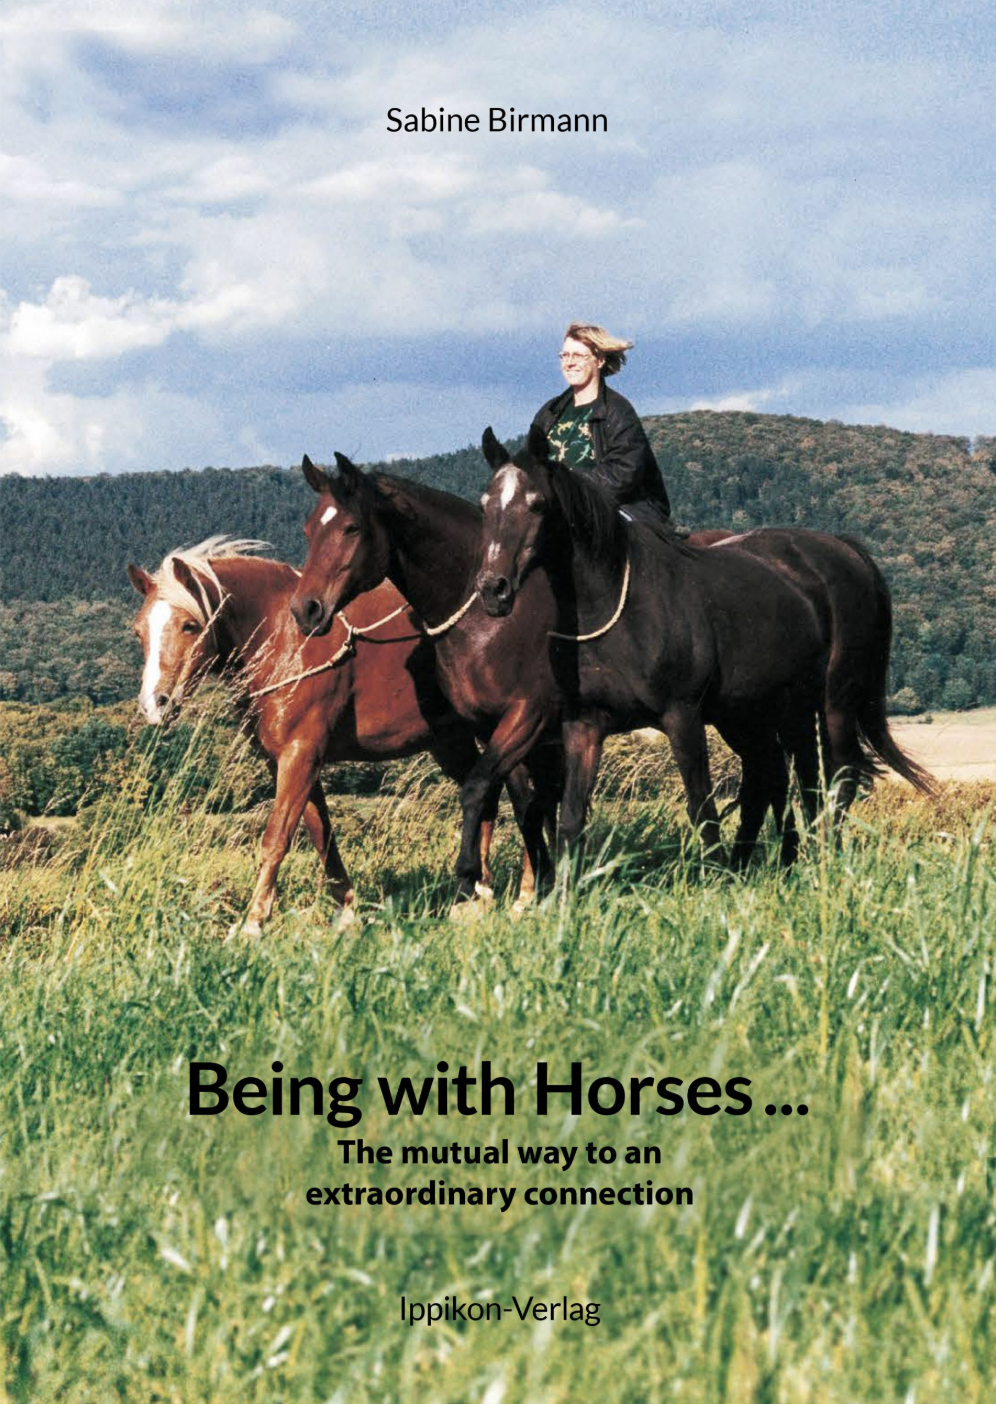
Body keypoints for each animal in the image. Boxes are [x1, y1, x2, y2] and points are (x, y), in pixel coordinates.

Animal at [128, 538, 532, 934]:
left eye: (189, 625)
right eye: (138, 630)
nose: (154, 704)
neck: (286, 638)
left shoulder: (301, 755)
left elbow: (276, 838)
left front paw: (253, 923)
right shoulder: (288, 761)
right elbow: (321, 836)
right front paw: (346, 911)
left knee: (523, 794)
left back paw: (525, 896)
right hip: (450, 742)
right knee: (486, 796)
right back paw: (477, 894)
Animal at [474, 425, 934, 872]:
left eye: (537, 503)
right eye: (486, 504)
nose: (493, 588)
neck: (618, 605)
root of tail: (845, 550)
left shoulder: (682, 716)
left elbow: (702, 809)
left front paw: (714, 877)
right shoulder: (584, 726)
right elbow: (571, 820)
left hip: (836, 699)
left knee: (839, 776)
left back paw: (824, 861)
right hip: (773, 710)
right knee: (787, 779)